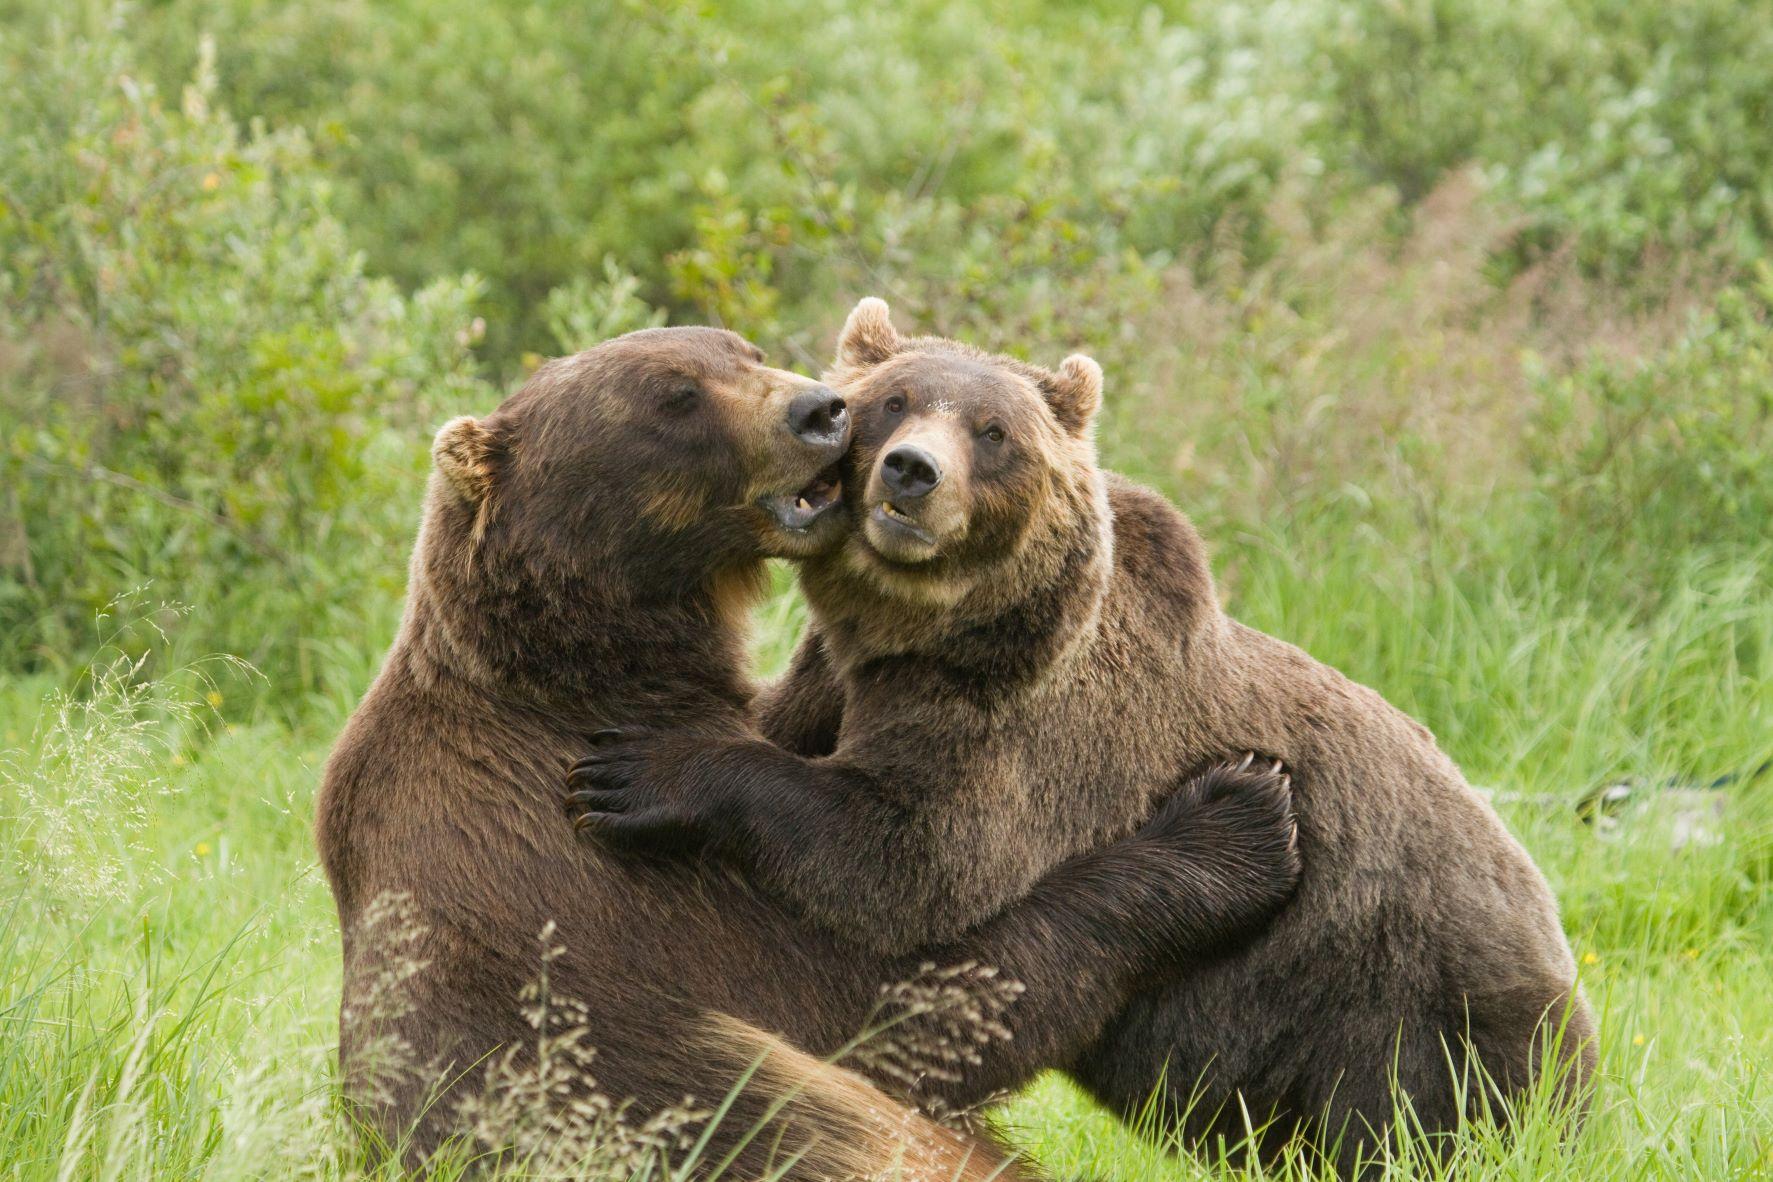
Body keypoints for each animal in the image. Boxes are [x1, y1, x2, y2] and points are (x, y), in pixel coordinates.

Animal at [315, 326, 1304, 1182]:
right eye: (675, 396)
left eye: (743, 349)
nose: (820, 410)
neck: (591, 667)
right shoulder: (579, 863)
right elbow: (888, 998)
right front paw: (1233, 822)